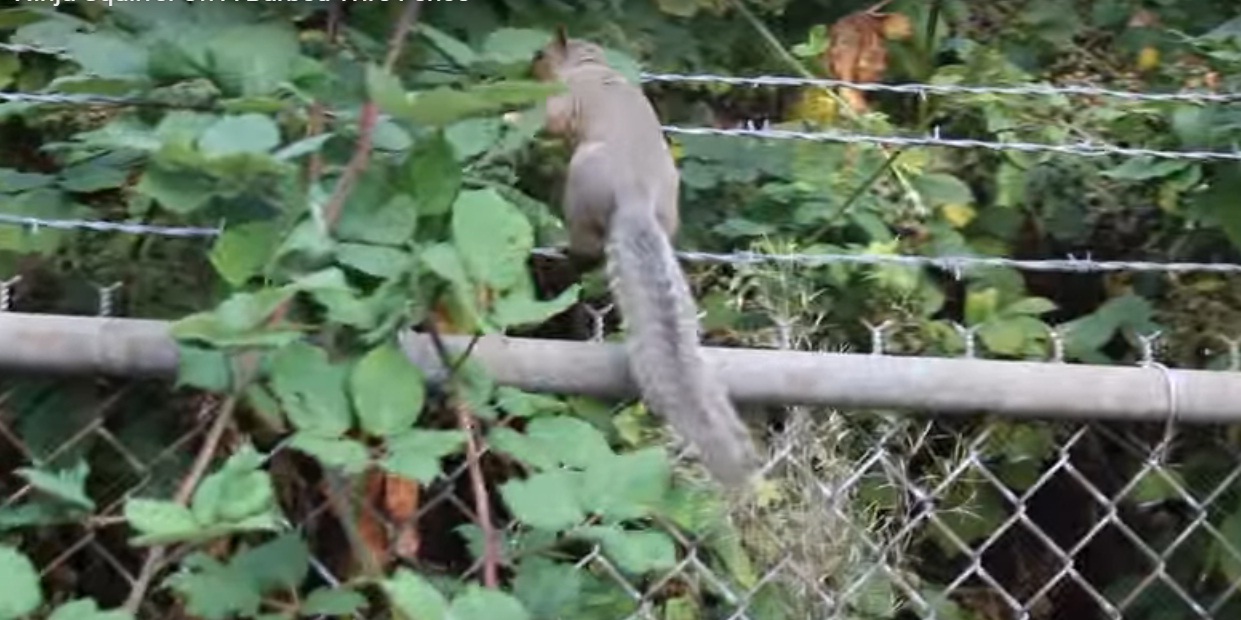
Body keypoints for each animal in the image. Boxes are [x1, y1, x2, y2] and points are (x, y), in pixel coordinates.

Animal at [530, 29, 761, 488]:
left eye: (542, 53)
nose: (530, 66)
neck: (591, 65)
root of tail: (635, 199)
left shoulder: (564, 100)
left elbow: (549, 120)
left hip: (579, 185)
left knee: (586, 246)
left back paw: (570, 252)